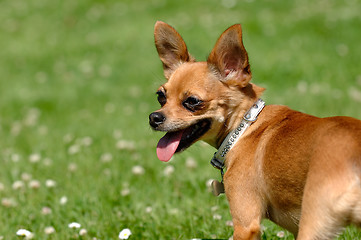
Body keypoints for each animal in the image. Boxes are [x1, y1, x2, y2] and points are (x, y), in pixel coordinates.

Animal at [148, 21, 358, 239]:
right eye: (161, 96)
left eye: (192, 101)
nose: (154, 117)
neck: (245, 127)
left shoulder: (245, 225)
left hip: (314, 224)